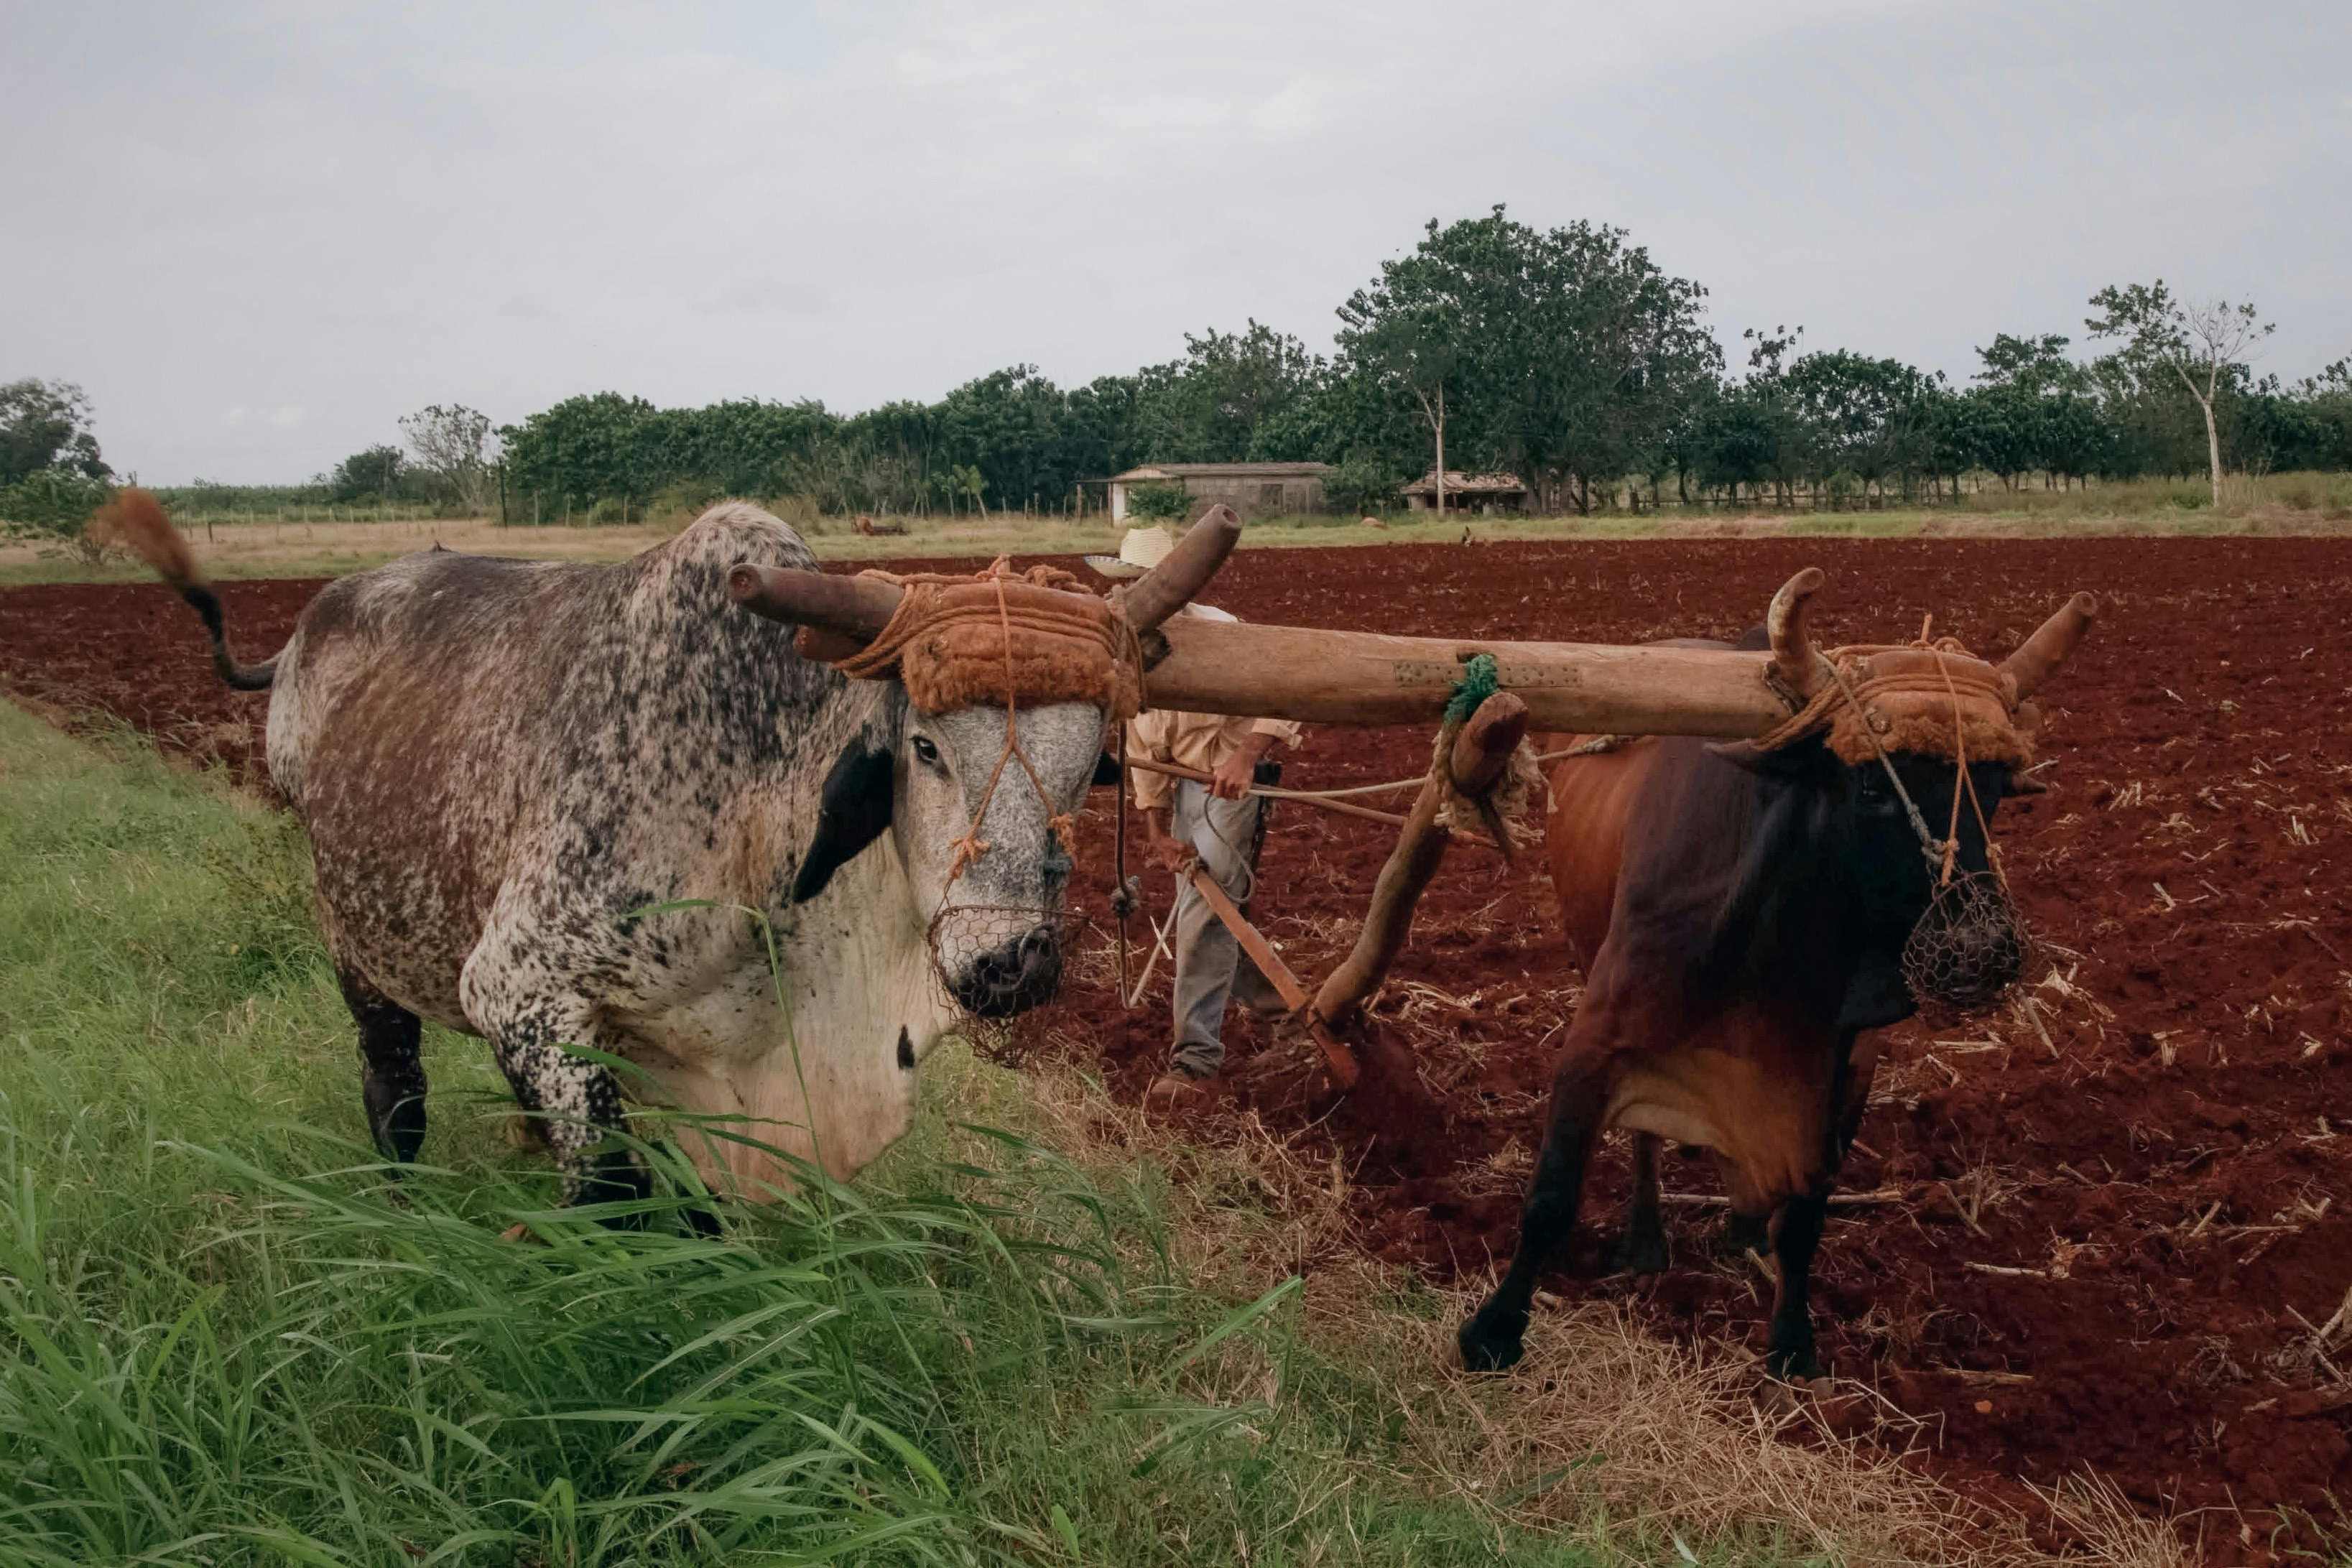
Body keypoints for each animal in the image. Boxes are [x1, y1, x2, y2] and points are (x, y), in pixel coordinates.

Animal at [116, 490, 1238, 1213]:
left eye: (1091, 761)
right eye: (924, 747)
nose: (1013, 963)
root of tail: (305, 629)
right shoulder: (521, 987)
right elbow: (621, 1198)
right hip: (354, 937)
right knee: (392, 1085)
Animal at [1457, 570, 2095, 1378]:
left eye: (1994, 786)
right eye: (1871, 788)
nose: (1981, 946)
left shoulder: (1844, 1071)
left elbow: (1806, 1216)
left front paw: (1792, 1339)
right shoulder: (1598, 1034)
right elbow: (1551, 1195)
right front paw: (1495, 1326)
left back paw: (1742, 1226)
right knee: (1643, 1139)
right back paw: (1646, 1235)